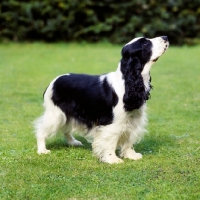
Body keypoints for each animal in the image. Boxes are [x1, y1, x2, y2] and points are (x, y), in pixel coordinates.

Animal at [34, 36, 169, 164]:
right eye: (145, 43)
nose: (166, 37)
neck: (128, 81)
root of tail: (53, 81)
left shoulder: (132, 119)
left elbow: (129, 139)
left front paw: (131, 155)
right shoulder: (111, 122)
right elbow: (110, 141)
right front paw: (112, 159)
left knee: (66, 129)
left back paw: (73, 142)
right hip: (56, 114)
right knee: (42, 130)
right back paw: (42, 150)